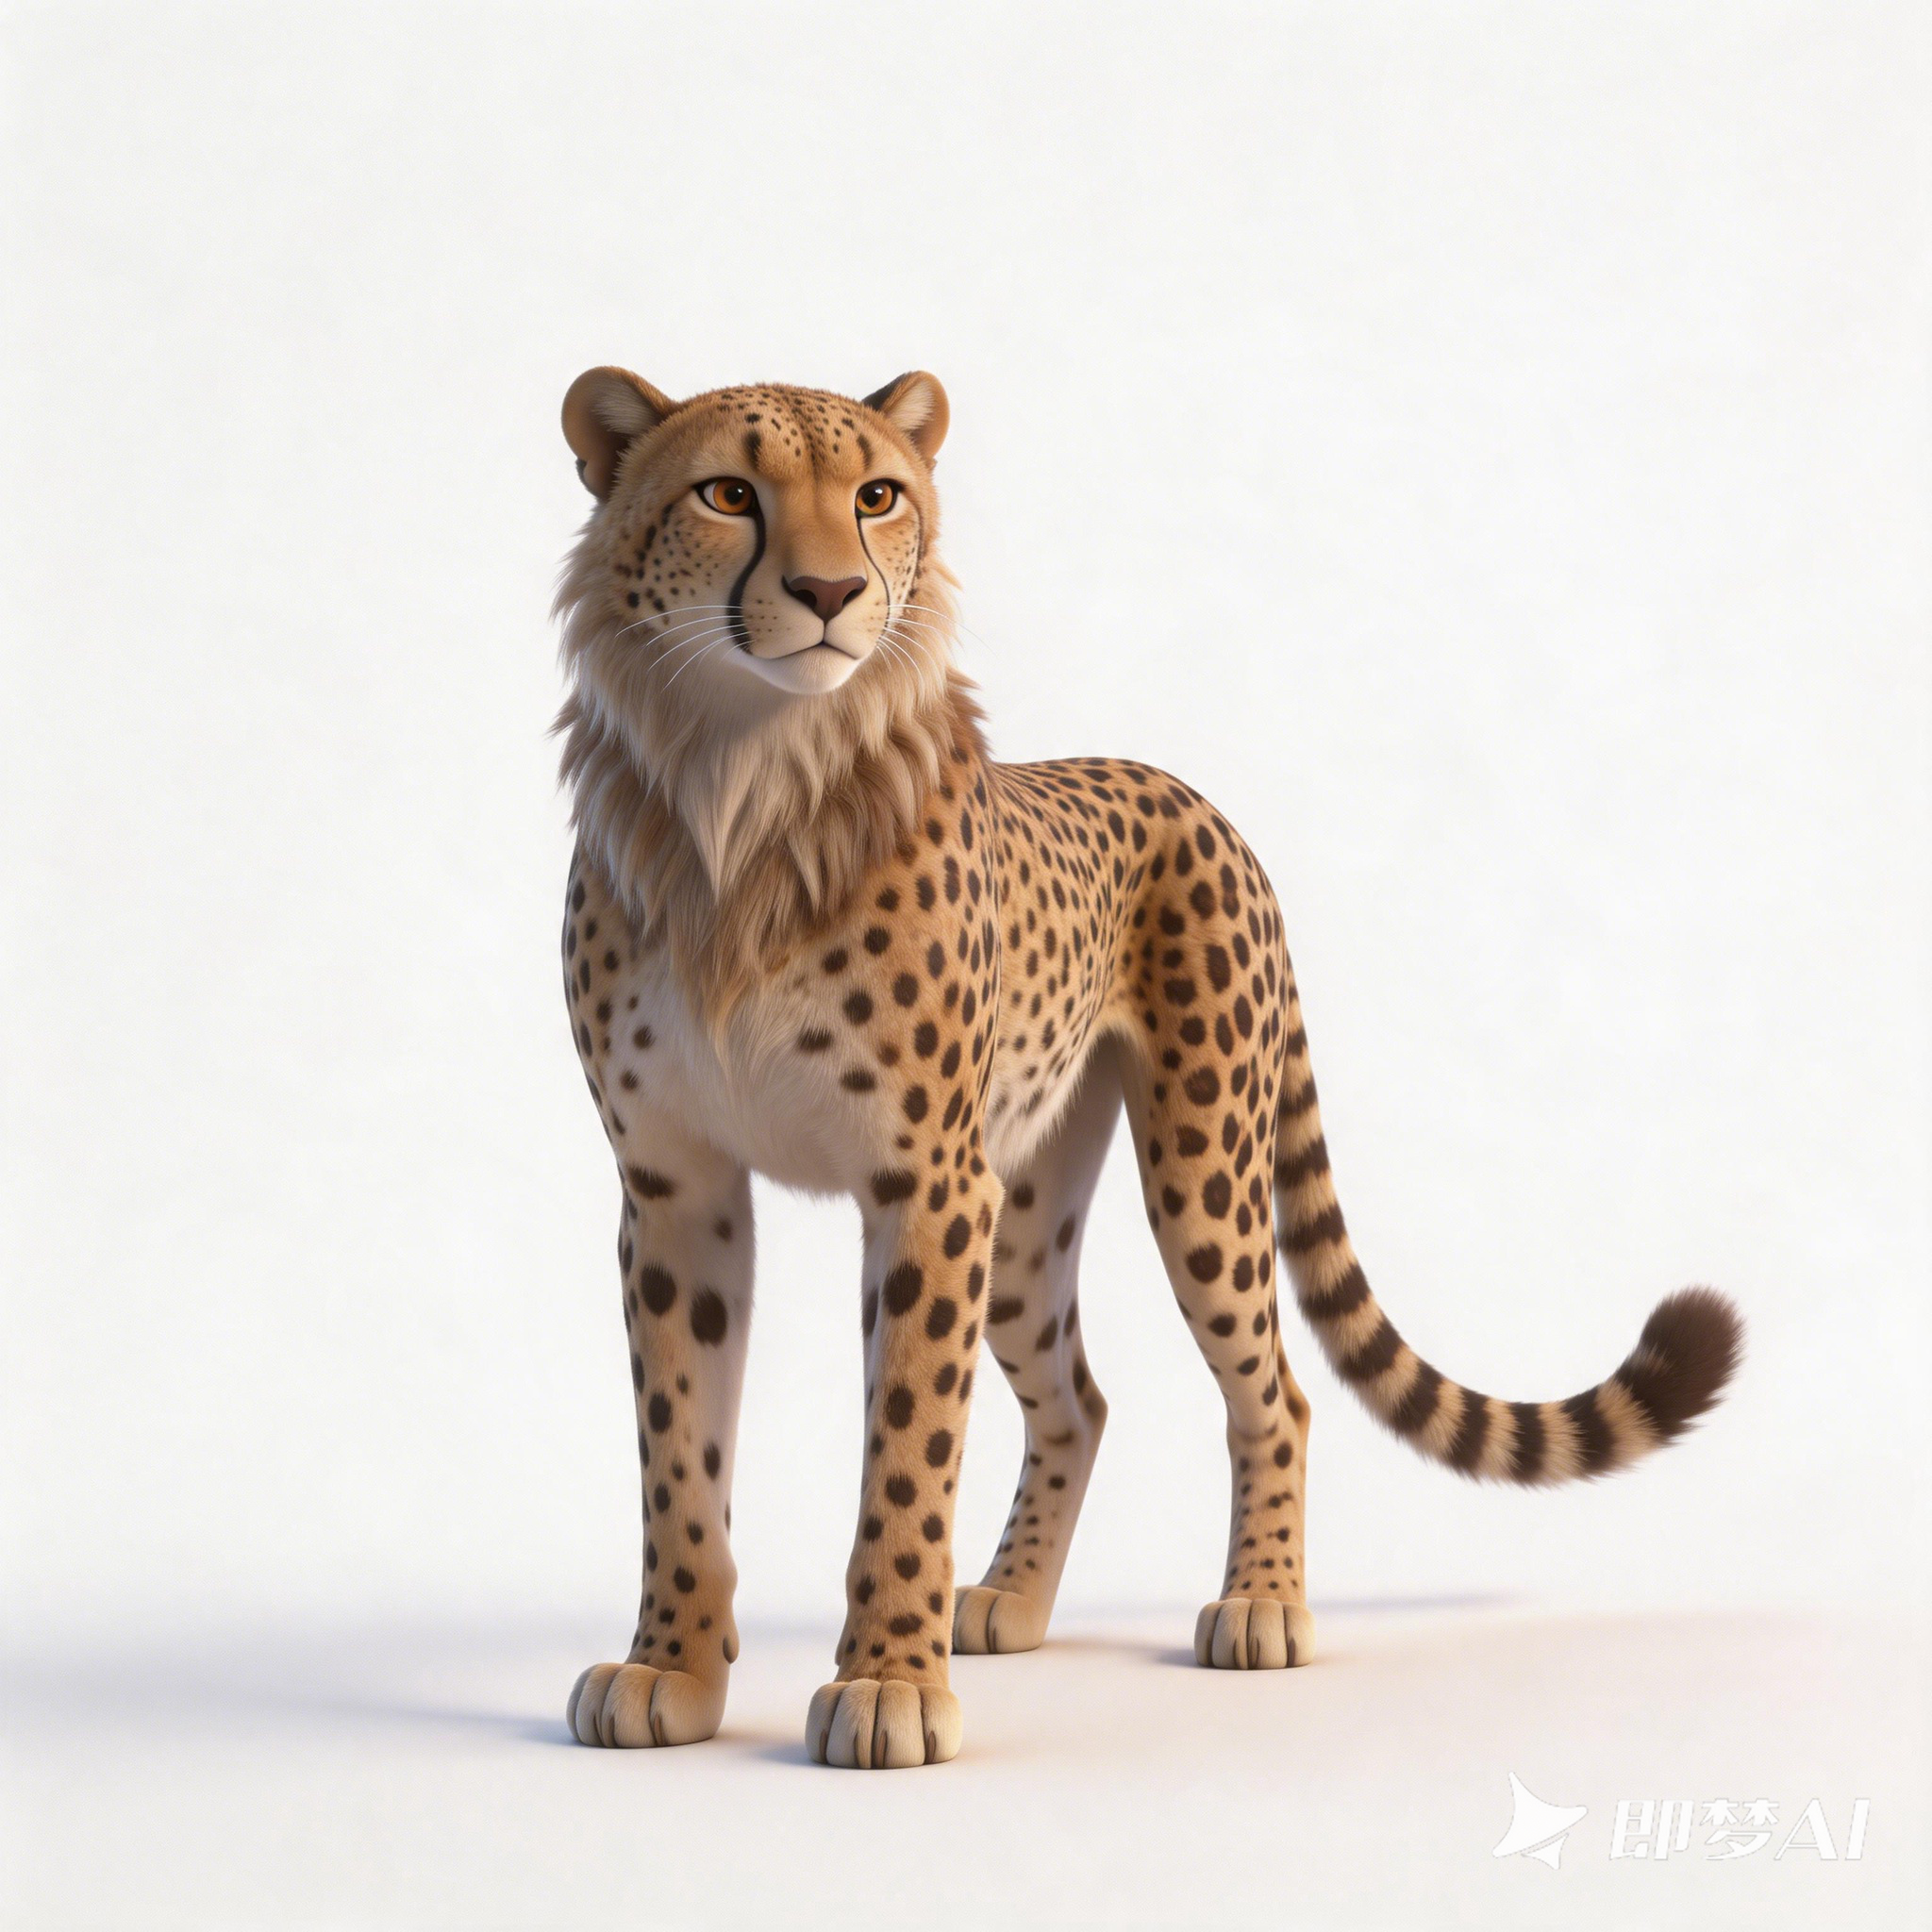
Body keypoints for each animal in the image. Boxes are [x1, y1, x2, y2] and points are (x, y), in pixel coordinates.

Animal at [550, 364, 1742, 1768]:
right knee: (1080, 1397)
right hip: (1020, 1215)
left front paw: (888, 1679)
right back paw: (1010, 1601)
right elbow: (678, 1453)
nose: (834, 591)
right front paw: (670, 1666)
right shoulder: (675, 1187)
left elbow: (907, 1447)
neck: (745, 786)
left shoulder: (922, 1186)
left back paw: (1261, 1605)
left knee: (1276, 1390)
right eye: (729, 493)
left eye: (877, 494)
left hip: (1196, 1171)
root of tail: (1187, 791)